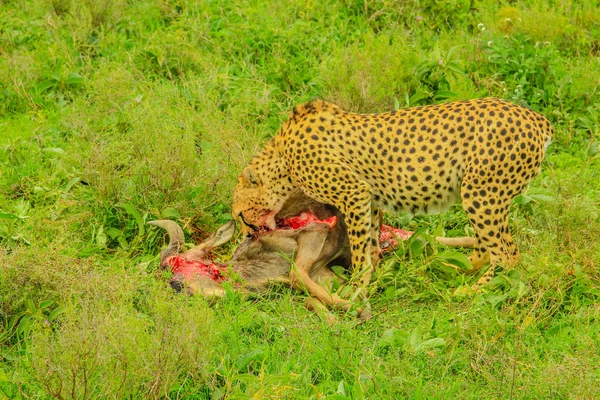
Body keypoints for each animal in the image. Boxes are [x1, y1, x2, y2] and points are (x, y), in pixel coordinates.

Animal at [232, 98, 552, 290]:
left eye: (240, 216)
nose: (248, 235)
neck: (282, 158)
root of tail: (535, 117)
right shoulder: (370, 200)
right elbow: (371, 242)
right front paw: (375, 276)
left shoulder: (353, 193)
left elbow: (359, 247)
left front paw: (358, 285)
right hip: (488, 196)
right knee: (495, 248)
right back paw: (451, 267)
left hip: (481, 194)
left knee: (506, 254)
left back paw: (472, 291)